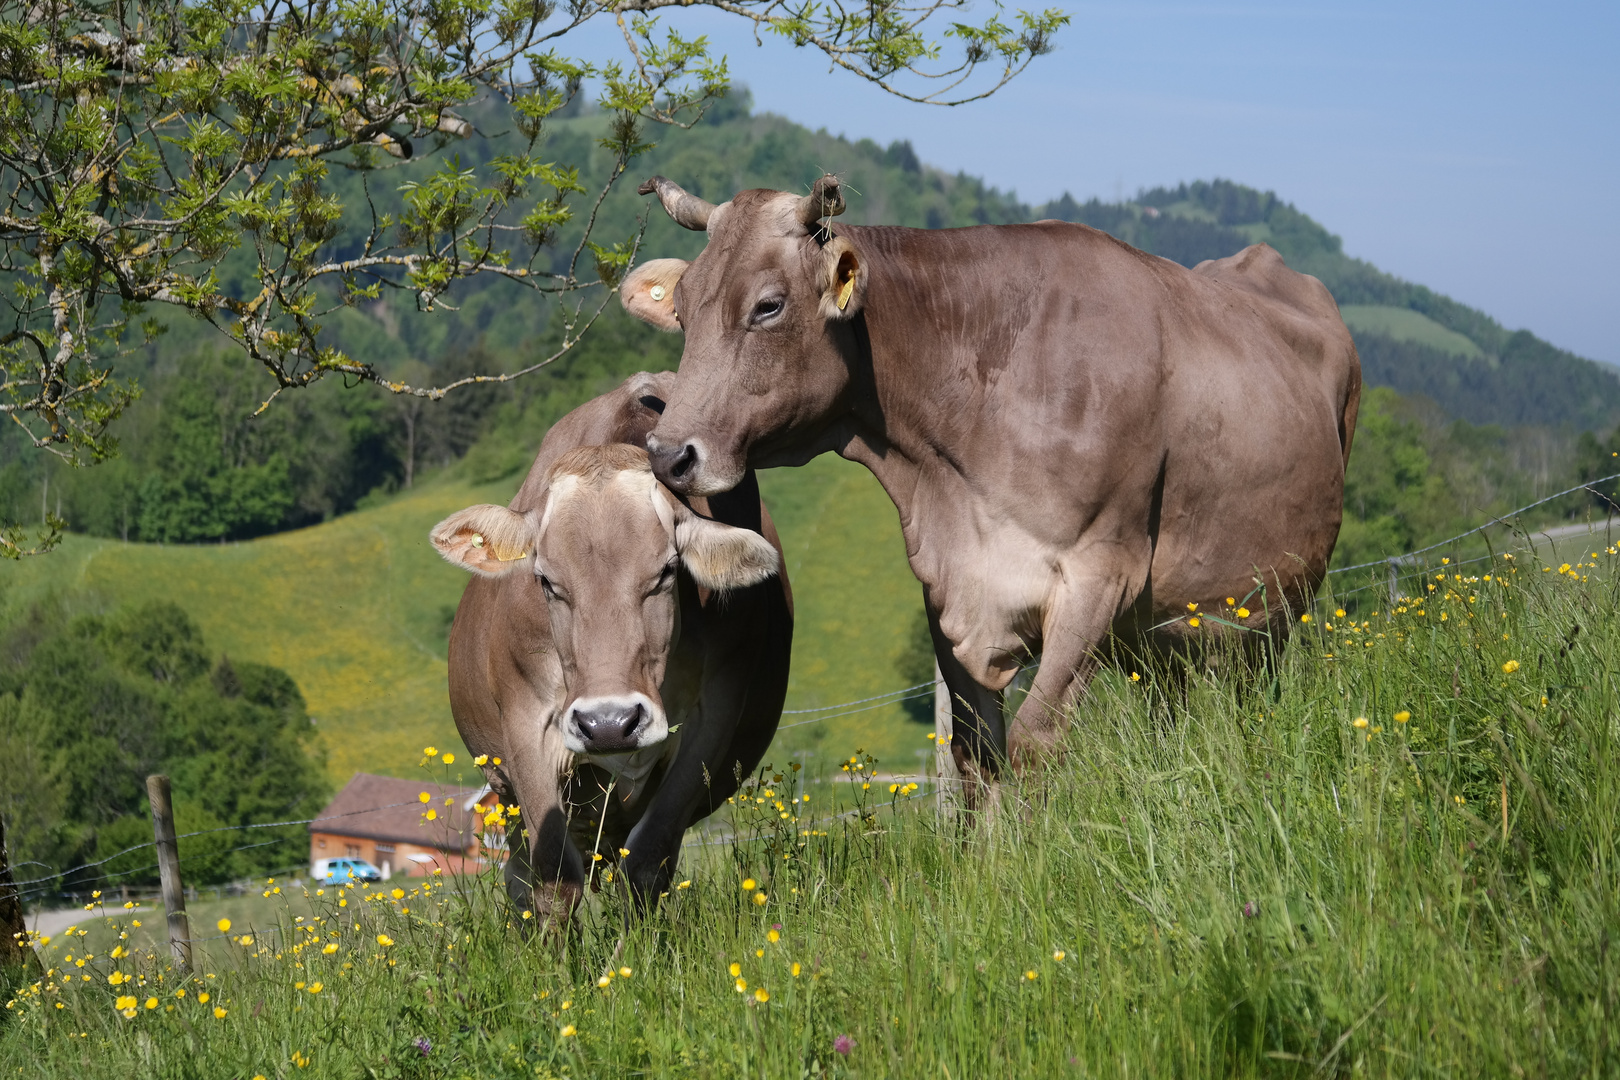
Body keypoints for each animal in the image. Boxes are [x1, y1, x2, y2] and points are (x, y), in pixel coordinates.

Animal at [427, 374, 787, 919]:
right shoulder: (526, 725)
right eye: (546, 581)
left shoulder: (715, 715)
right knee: (519, 878)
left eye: (666, 572)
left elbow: (648, 861)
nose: (609, 724)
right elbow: (553, 878)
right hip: (505, 794)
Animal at [625, 177, 1360, 799]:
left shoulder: (1101, 574)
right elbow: (976, 754)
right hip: (1176, 634)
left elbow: (1035, 743)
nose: (669, 454)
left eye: (768, 306)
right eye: (682, 311)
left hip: (1277, 607)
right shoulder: (950, 582)